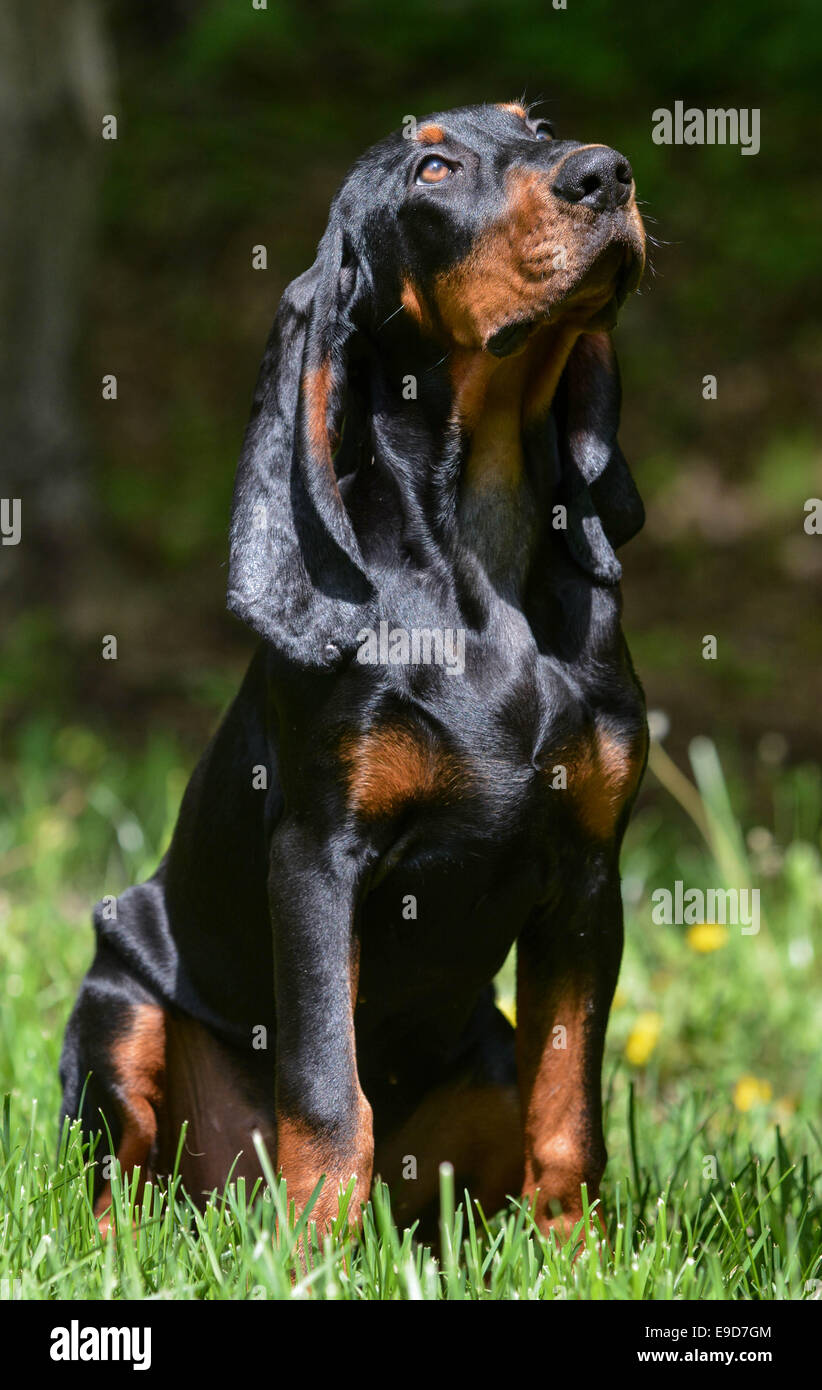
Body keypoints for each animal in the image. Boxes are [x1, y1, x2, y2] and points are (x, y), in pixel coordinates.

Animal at [59, 102, 650, 1245]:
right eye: (432, 169)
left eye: (539, 126)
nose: (607, 173)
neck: (481, 551)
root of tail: (217, 1195)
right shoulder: (318, 858)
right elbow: (332, 1096)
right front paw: (311, 1261)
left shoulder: (588, 879)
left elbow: (570, 1115)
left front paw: (581, 1257)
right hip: (119, 1000)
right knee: (112, 1186)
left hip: (487, 1056)